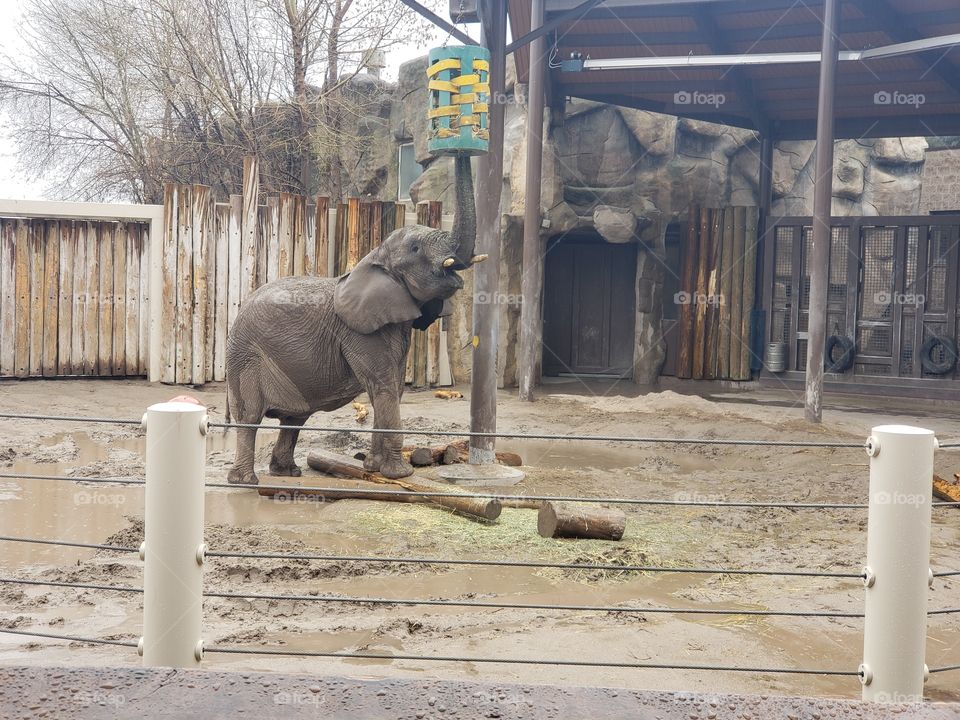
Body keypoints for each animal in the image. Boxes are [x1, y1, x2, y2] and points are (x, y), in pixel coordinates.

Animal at [224, 155, 482, 484]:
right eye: (415, 248)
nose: (462, 150)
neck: (375, 257)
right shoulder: (359, 333)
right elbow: (383, 387)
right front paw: (401, 474)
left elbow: (392, 389)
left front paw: (373, 467)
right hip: (246, 358)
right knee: (250, 417)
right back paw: (246, 482)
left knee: (294, 418)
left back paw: (288, 472)